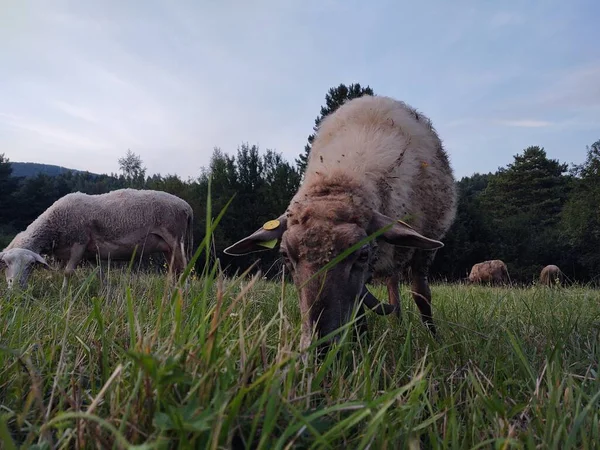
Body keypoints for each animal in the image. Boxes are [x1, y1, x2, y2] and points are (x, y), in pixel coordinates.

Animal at [1, 187, 193, 288]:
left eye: (30, 265)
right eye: (6, 264)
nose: (15, 287)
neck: (54, 224)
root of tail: (187, 207)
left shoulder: (80, 242)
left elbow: (68, 272)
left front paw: (64, 294)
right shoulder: (93, 252)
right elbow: (100, 275)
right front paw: (106, 293)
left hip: (175, 238)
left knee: (184, 267)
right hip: (168, 247)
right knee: (174, 270)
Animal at [223, 94, 458, 348]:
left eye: (362, 255)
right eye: (285, 255)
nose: (320, 347)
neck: (339, 180)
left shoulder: (427, 243)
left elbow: (421, 294)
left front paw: (435, 340)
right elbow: (359, 308)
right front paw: (360, 344)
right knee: (392, 283)